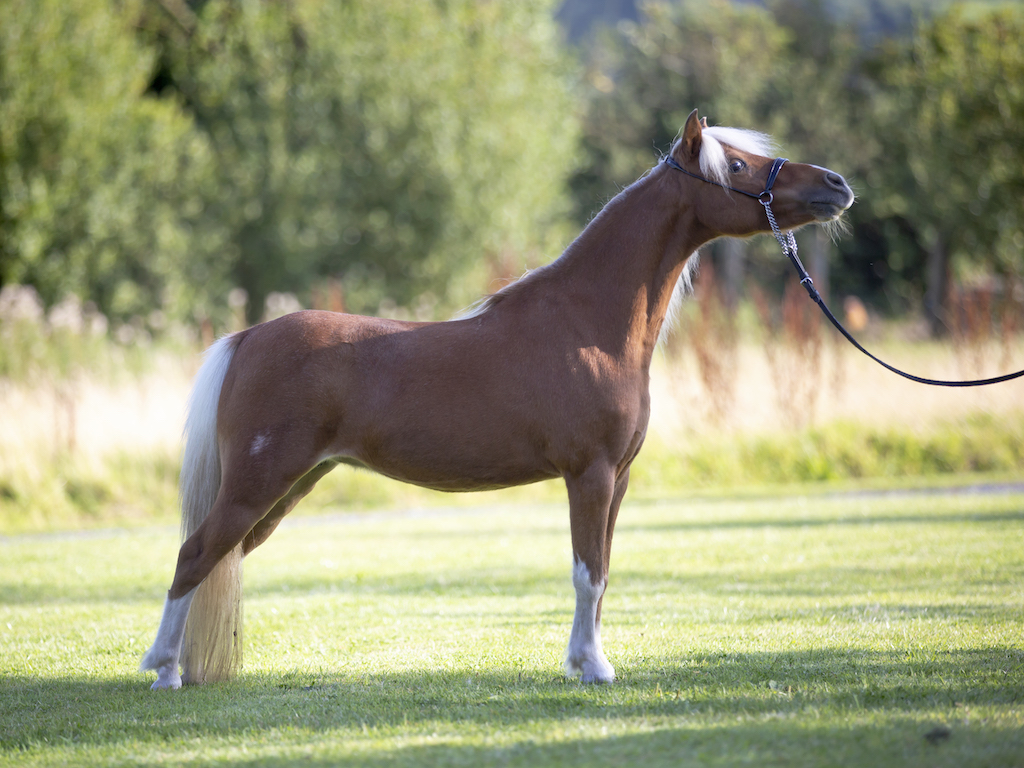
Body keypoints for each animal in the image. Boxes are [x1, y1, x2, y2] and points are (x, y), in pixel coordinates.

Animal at [140, 109, 854, 689]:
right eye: (736, 165)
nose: (837, 185)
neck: (588, 325)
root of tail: (248, 336)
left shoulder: (618, 480)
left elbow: (603, 572)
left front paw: (588, 660)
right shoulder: (589, 474)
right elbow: (587, 571)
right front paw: (592, 668)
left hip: (286, 489)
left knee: (218, 558)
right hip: (258, 483)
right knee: (195, 555)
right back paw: (165, 671)